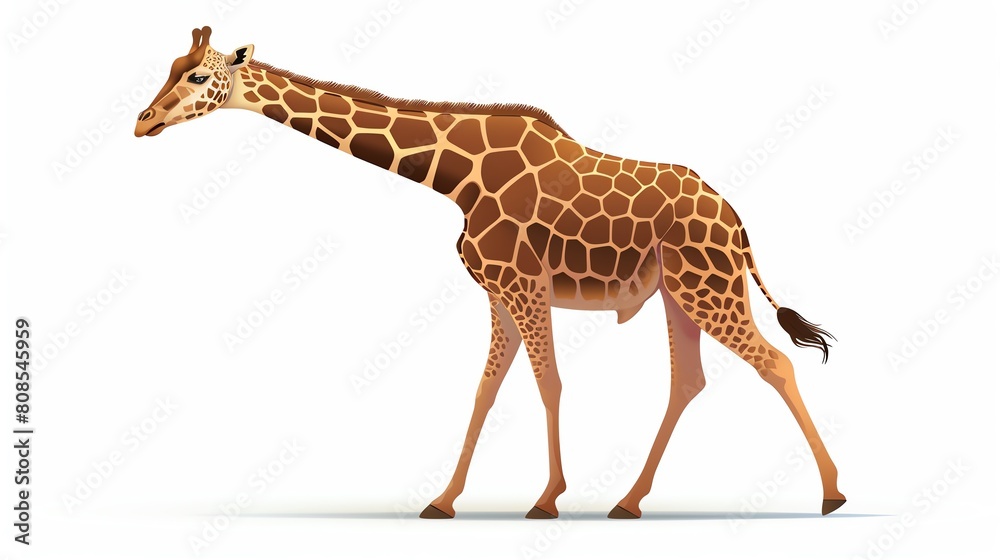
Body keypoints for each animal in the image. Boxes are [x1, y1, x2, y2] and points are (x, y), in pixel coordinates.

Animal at [136, 27, 846, 519]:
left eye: (196, 75)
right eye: (168, 70)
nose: (144, 121)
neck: (456, 176)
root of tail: (738, 223)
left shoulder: (522, 283)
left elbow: (548, 383)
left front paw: (547, 498)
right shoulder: (499, 291)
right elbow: (484, 390)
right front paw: (443, 500)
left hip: (709, 287)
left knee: (775, 363)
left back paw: (833, 494)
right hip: (681, 293)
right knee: (690, 380)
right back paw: (627, 501)